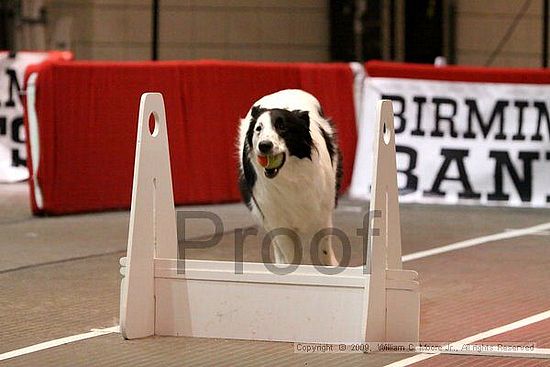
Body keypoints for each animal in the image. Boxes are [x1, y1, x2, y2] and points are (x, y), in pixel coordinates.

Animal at [238, 90, 342, 266]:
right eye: (259, 128)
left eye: (282, 127)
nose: (264, 145)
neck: (291, 176)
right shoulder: (275, 217)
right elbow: (288, 253)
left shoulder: (322, 213)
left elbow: (324, 249)